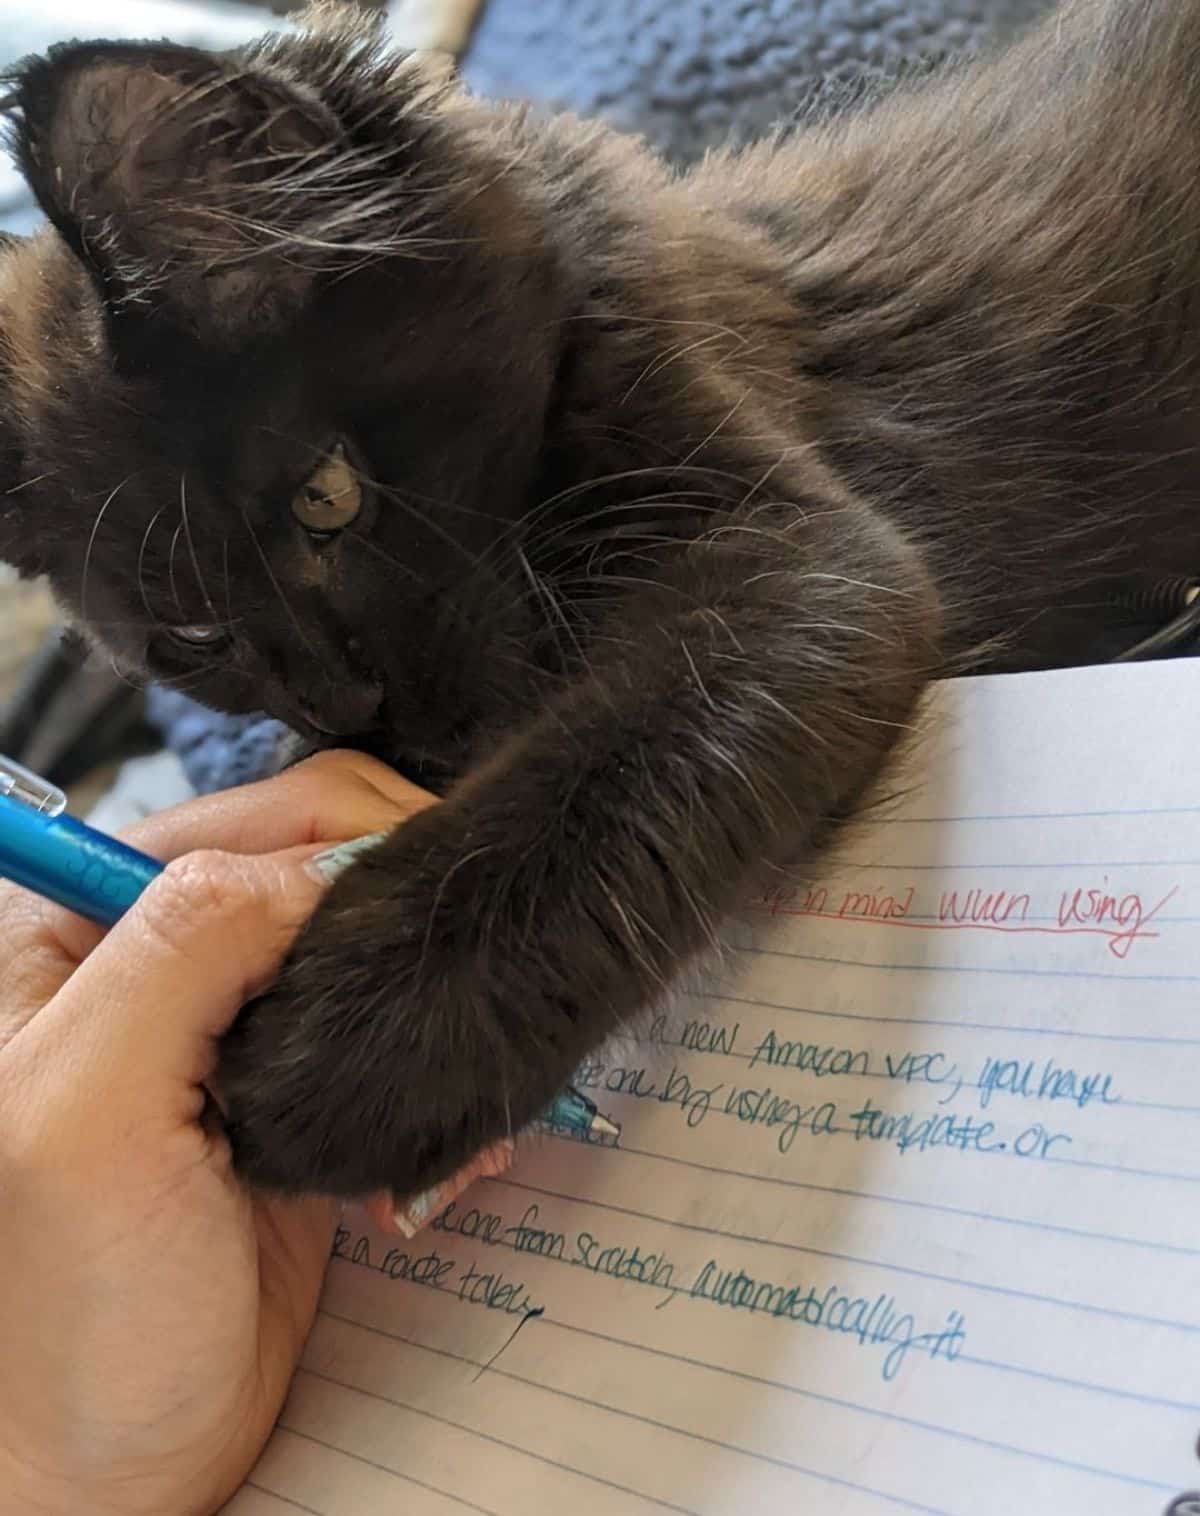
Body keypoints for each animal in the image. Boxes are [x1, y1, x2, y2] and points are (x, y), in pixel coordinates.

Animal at [2, 0, 1200, 1200]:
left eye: (325, 495)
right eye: (194, 636)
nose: (350, 706)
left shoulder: (802, 551)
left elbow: (619, 758)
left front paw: (362, 1036)